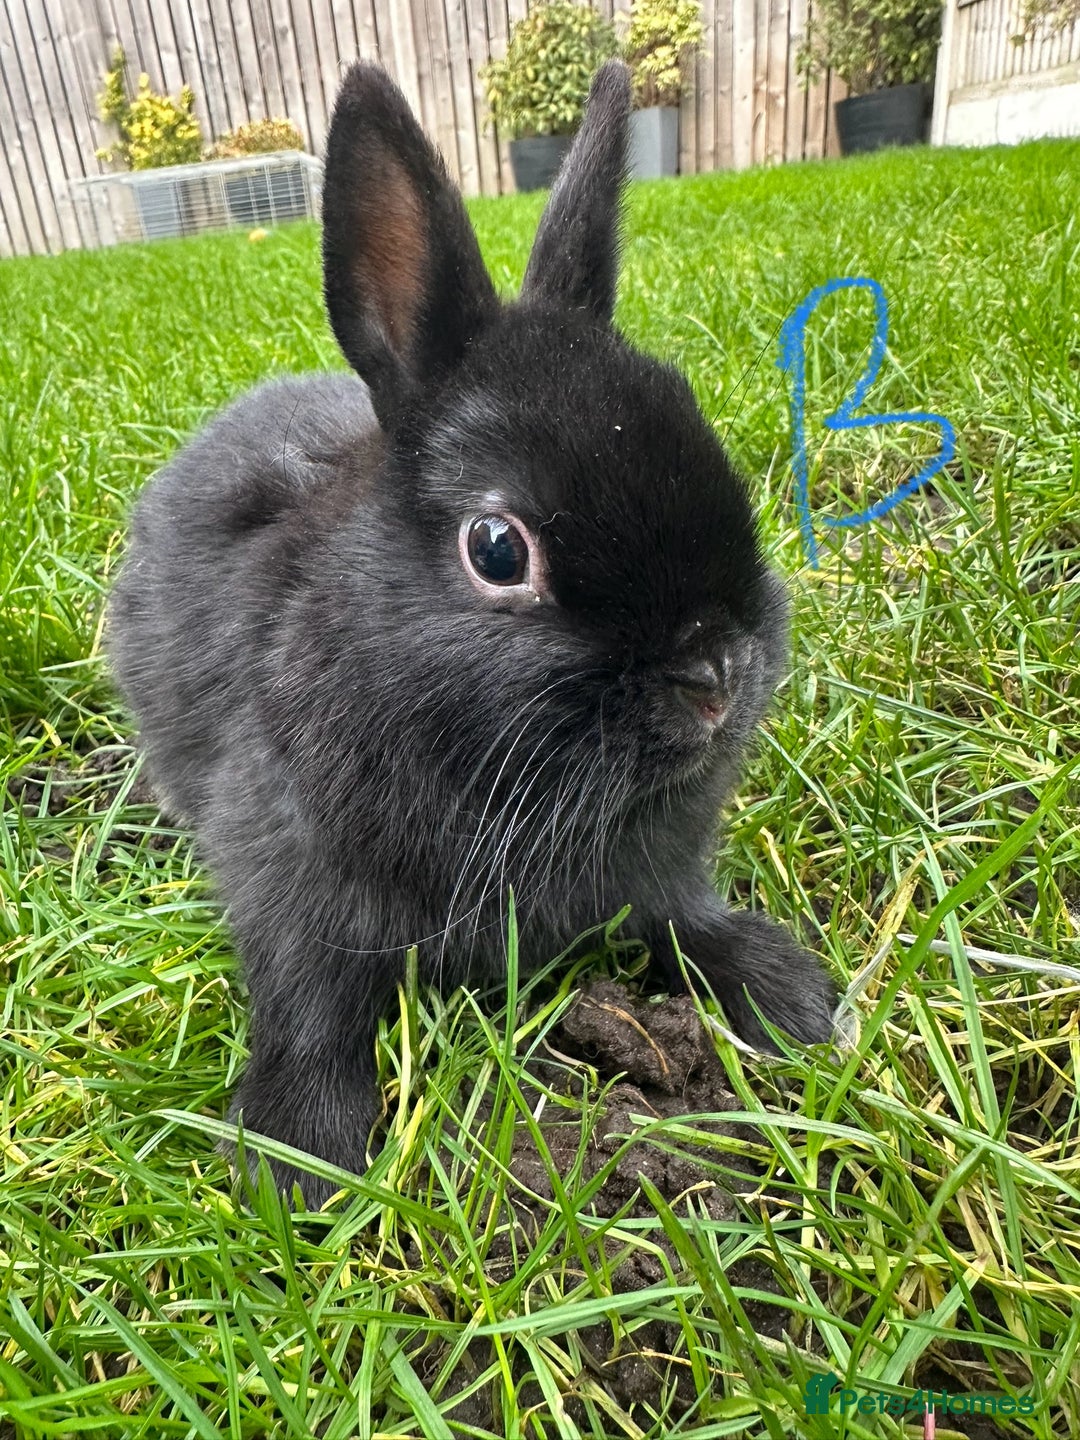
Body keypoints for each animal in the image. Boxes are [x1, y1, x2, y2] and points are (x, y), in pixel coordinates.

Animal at [108, 58, 837, 1208]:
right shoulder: (295, 891)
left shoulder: (656, 873)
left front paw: (790, 997)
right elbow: (310, 1011)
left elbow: (686, 918)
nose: (717, 673)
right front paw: (297, 1165)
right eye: (498, 550)